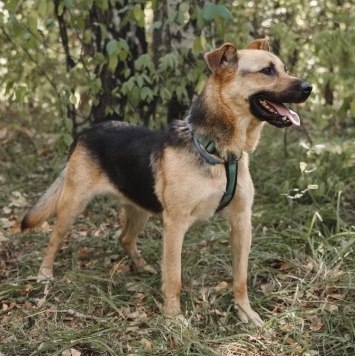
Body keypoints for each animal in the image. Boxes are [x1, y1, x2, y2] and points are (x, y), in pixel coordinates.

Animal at [20, 39, 312, 326]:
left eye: (284, 69)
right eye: (267, 71)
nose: (309, 87)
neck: (220, 151)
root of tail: (88, 130)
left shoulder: (241, 221)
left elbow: (240, 277)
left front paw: (244, 313)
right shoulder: (175, 224)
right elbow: (174, 276)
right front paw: (173, 318)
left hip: (139, 208)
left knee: (124, 237)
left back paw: (142, 266)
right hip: (74, 204)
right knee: (55, 237)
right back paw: (44, 273)